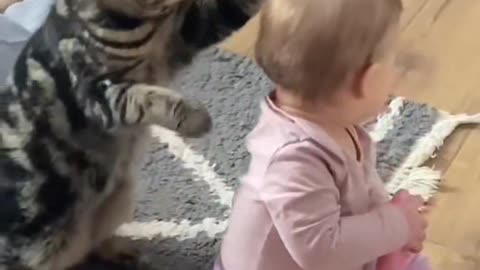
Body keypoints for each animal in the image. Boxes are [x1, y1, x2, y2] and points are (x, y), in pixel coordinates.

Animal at [0, 0, 262, 268]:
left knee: (93, 243)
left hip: (119, 200)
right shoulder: (95, 92)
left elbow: (230, 10)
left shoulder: (189, 31)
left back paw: (124, 252)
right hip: (39, 245)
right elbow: (142, 96)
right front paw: (195, 118)